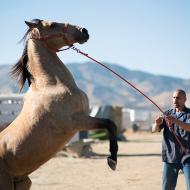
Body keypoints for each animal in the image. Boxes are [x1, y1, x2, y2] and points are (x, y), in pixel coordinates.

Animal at [0, 19, 118, 190]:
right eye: (52, 25)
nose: (84, 31)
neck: (51, 85)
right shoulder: (76, 122)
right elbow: (109, 124)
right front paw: (112, 160)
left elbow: (111, 125)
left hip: (22, 182)